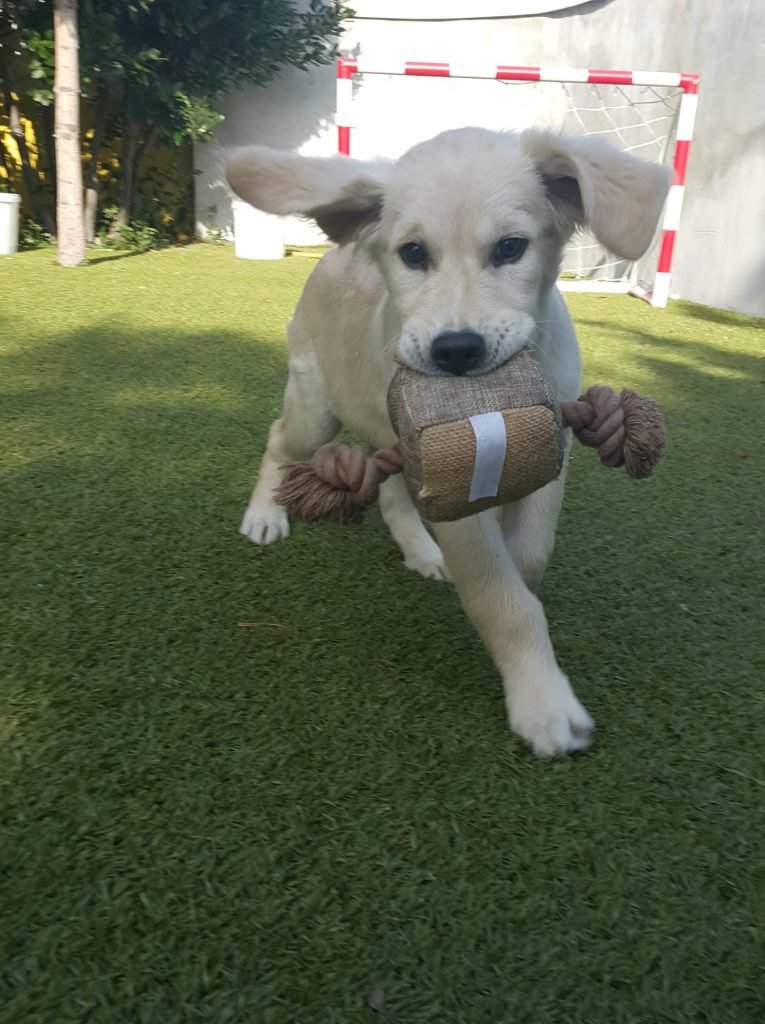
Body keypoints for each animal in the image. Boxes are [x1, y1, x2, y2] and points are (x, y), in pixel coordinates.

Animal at [225, 127, 670, 756]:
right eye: (413, 254)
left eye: (511, 248)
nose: (456, 350)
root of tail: (334, 255)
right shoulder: (460, 482)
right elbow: (500, 596)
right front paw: (541, 701)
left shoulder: (550, 450)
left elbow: (528, 556)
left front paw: (517, 582)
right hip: (317, 409)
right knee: (280, 440)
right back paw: (265, 515)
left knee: (390, 493)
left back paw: (421, 552)